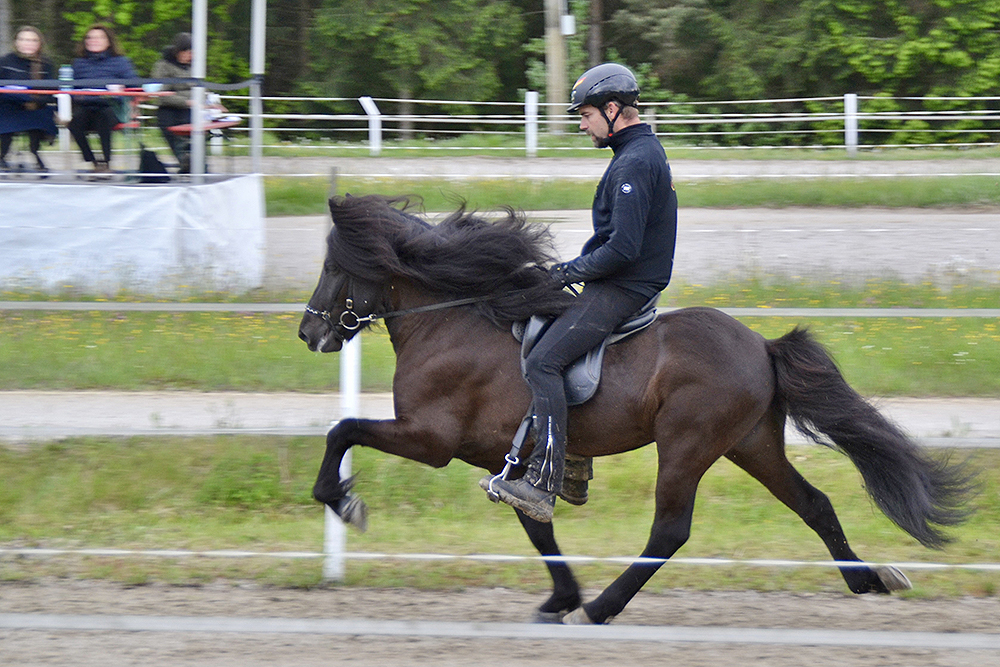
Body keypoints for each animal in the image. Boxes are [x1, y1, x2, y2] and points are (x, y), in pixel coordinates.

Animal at [296, 193, 968, 628]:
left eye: (332, 267)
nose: (309, 333)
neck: (451, 319)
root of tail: (760, 345)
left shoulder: (431, 438)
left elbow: (342, 430)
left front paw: (344, 502)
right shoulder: (502, 458)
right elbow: (536, 525)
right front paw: (559, 598)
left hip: (687, 444)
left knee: (670, 530)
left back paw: (604, 608)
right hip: (750, 444)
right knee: (814, 504)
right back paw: (868, 580)